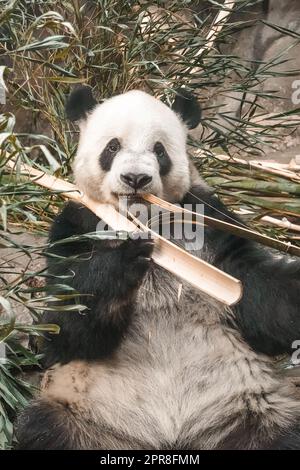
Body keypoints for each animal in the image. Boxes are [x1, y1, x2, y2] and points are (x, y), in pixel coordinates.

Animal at [16, 86, 300, 450]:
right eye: (112, 147)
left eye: (159, 150)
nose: (136, 178)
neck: (148, 220)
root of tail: (169, 441)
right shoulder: (75, 224)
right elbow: (66, 326)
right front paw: (124, 255)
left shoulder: (208, 222)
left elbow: (257, 295)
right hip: (84, 413)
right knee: (44, 428)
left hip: (249, 405)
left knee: (283, 433)